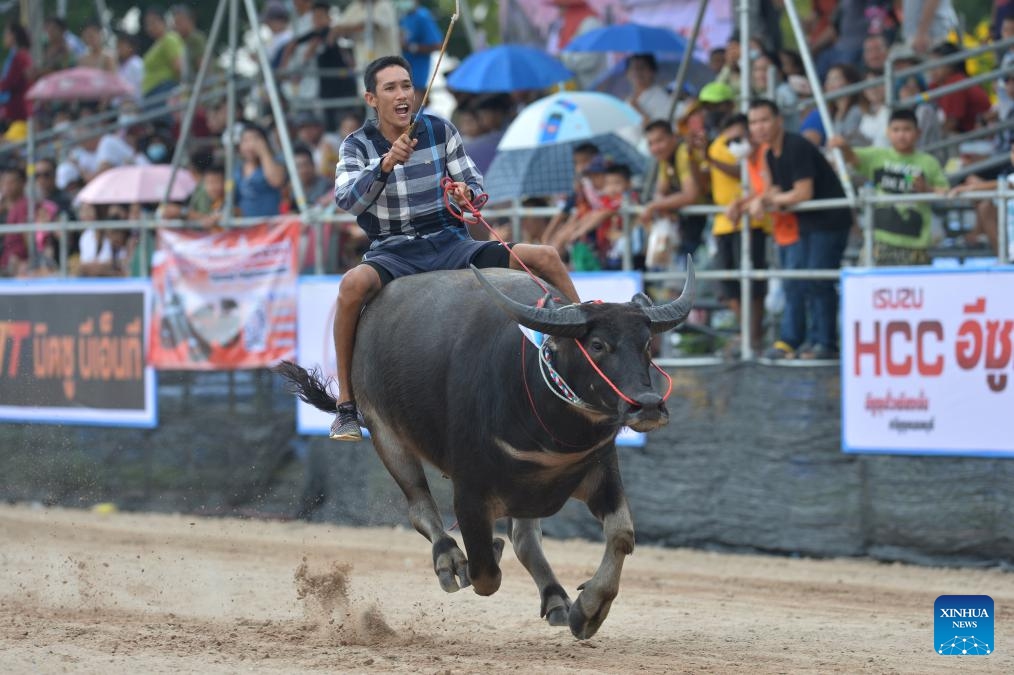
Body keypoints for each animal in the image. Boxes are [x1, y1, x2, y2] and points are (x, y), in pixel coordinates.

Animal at [273, 259, 693, 640]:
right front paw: (478, 556)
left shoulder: (600, 468)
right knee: (420, 508)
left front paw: (588, 611)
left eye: (646, 344)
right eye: (597, 344)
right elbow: (486, 573)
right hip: (384, 433)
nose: (648, 405)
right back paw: (449, 559)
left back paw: (556, 599)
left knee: (524, 539)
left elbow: (621, 534)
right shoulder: (470, 491)